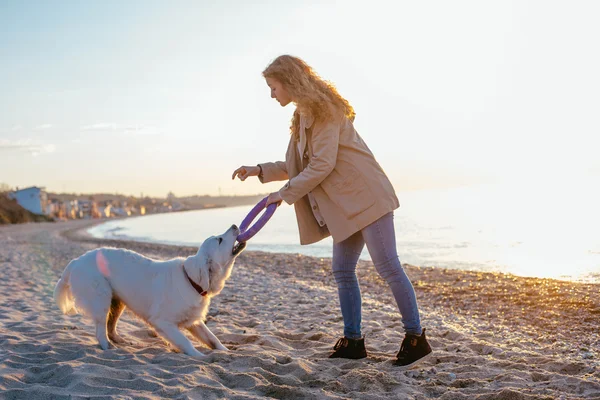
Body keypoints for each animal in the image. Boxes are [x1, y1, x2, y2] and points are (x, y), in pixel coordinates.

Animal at [54, 223, 245, 358]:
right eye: (219, 240)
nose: (235, 225)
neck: (190, 280)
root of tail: (76, 261)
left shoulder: (194, 321)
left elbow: (213, 338)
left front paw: (226, 352)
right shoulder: (162, 322)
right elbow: (186, 342)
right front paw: (201, 357)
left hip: (117, 301)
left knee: (110, 327)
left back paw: (122, 342)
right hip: (101, 298)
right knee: (101, 330)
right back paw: (108, 347)